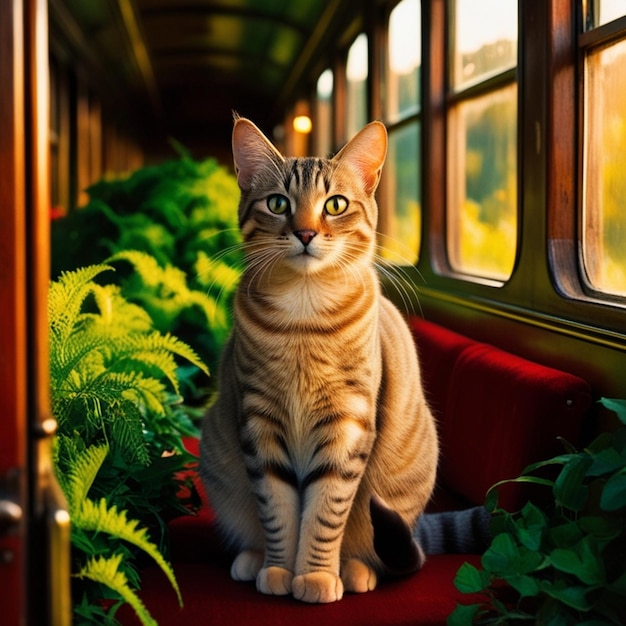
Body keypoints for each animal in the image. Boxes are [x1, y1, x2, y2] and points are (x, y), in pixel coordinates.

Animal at [197, 114, 436, 604]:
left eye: (335, 204)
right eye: (277, 203)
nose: (305, 233)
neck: (303, 319)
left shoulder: (349, 422)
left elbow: (325, 512)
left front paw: (316, 575)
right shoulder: (260, 422)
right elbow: (277, 510)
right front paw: (279, 569)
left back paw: (356, 569)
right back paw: (252, 560)